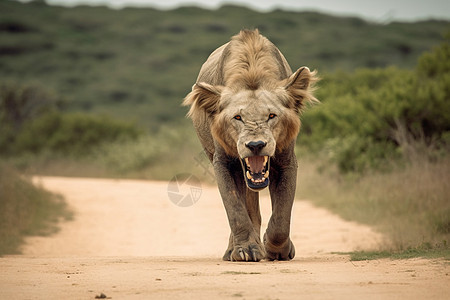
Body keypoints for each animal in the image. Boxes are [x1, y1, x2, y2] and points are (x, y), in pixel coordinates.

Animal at [182, 29, 316, 262]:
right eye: (237, 117)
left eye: (271, 116)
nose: (255, 144)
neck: (251, 73)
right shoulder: (223, 162)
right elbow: (236, 210)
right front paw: (245, 249)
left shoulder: (287, 160)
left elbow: (282, 216)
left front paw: (276, 249)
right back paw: (234, 249)